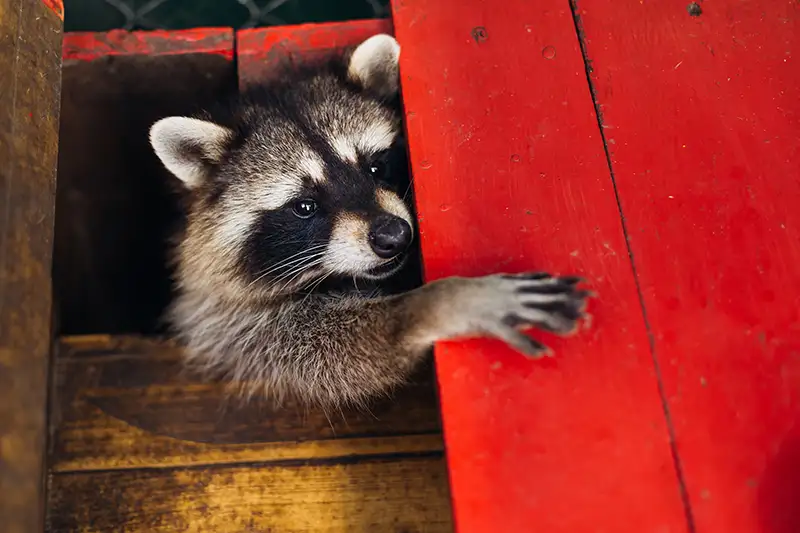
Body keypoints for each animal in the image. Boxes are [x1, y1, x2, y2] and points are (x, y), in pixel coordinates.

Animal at [147, 34, 592, 408]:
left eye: (376, 167)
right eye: (304, 206)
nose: (394, 236)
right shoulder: (226, 319)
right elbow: (320, 353)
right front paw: (435, 304)